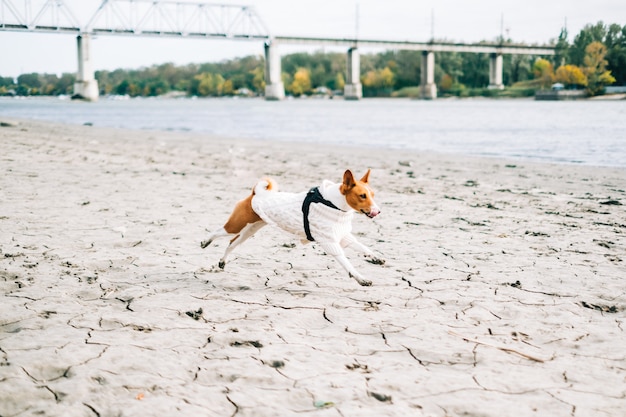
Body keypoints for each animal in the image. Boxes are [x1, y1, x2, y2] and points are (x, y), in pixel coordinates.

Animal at [202, 169, 382, 286]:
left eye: (372, 195)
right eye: (362, 196)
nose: (378, 211)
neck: (332, 204)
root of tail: (255, 193)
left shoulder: (343, 235)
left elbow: (363, 247)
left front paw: (375, 257)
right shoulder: (329, 241)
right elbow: (347, 264)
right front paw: (360, 278)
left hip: (250, 230)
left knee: (232, 243)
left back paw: (222, 261)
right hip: (236, 225)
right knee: (218, 232)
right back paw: (205, 242)